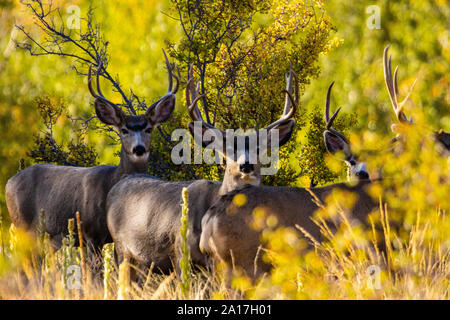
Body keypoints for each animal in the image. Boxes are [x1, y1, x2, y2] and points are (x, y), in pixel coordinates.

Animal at [5, 51, 178, 251]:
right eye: (124, 130)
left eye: (149, 129)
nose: (139, 148)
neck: (111, 181)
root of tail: (9, 182)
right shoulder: (90, 232)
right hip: (24, 227)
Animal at [103, 66, 298, 274]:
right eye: (228, 149)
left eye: (260, 148)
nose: (246, 165)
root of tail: (120, 183)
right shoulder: (180, 251)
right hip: (121, 249)